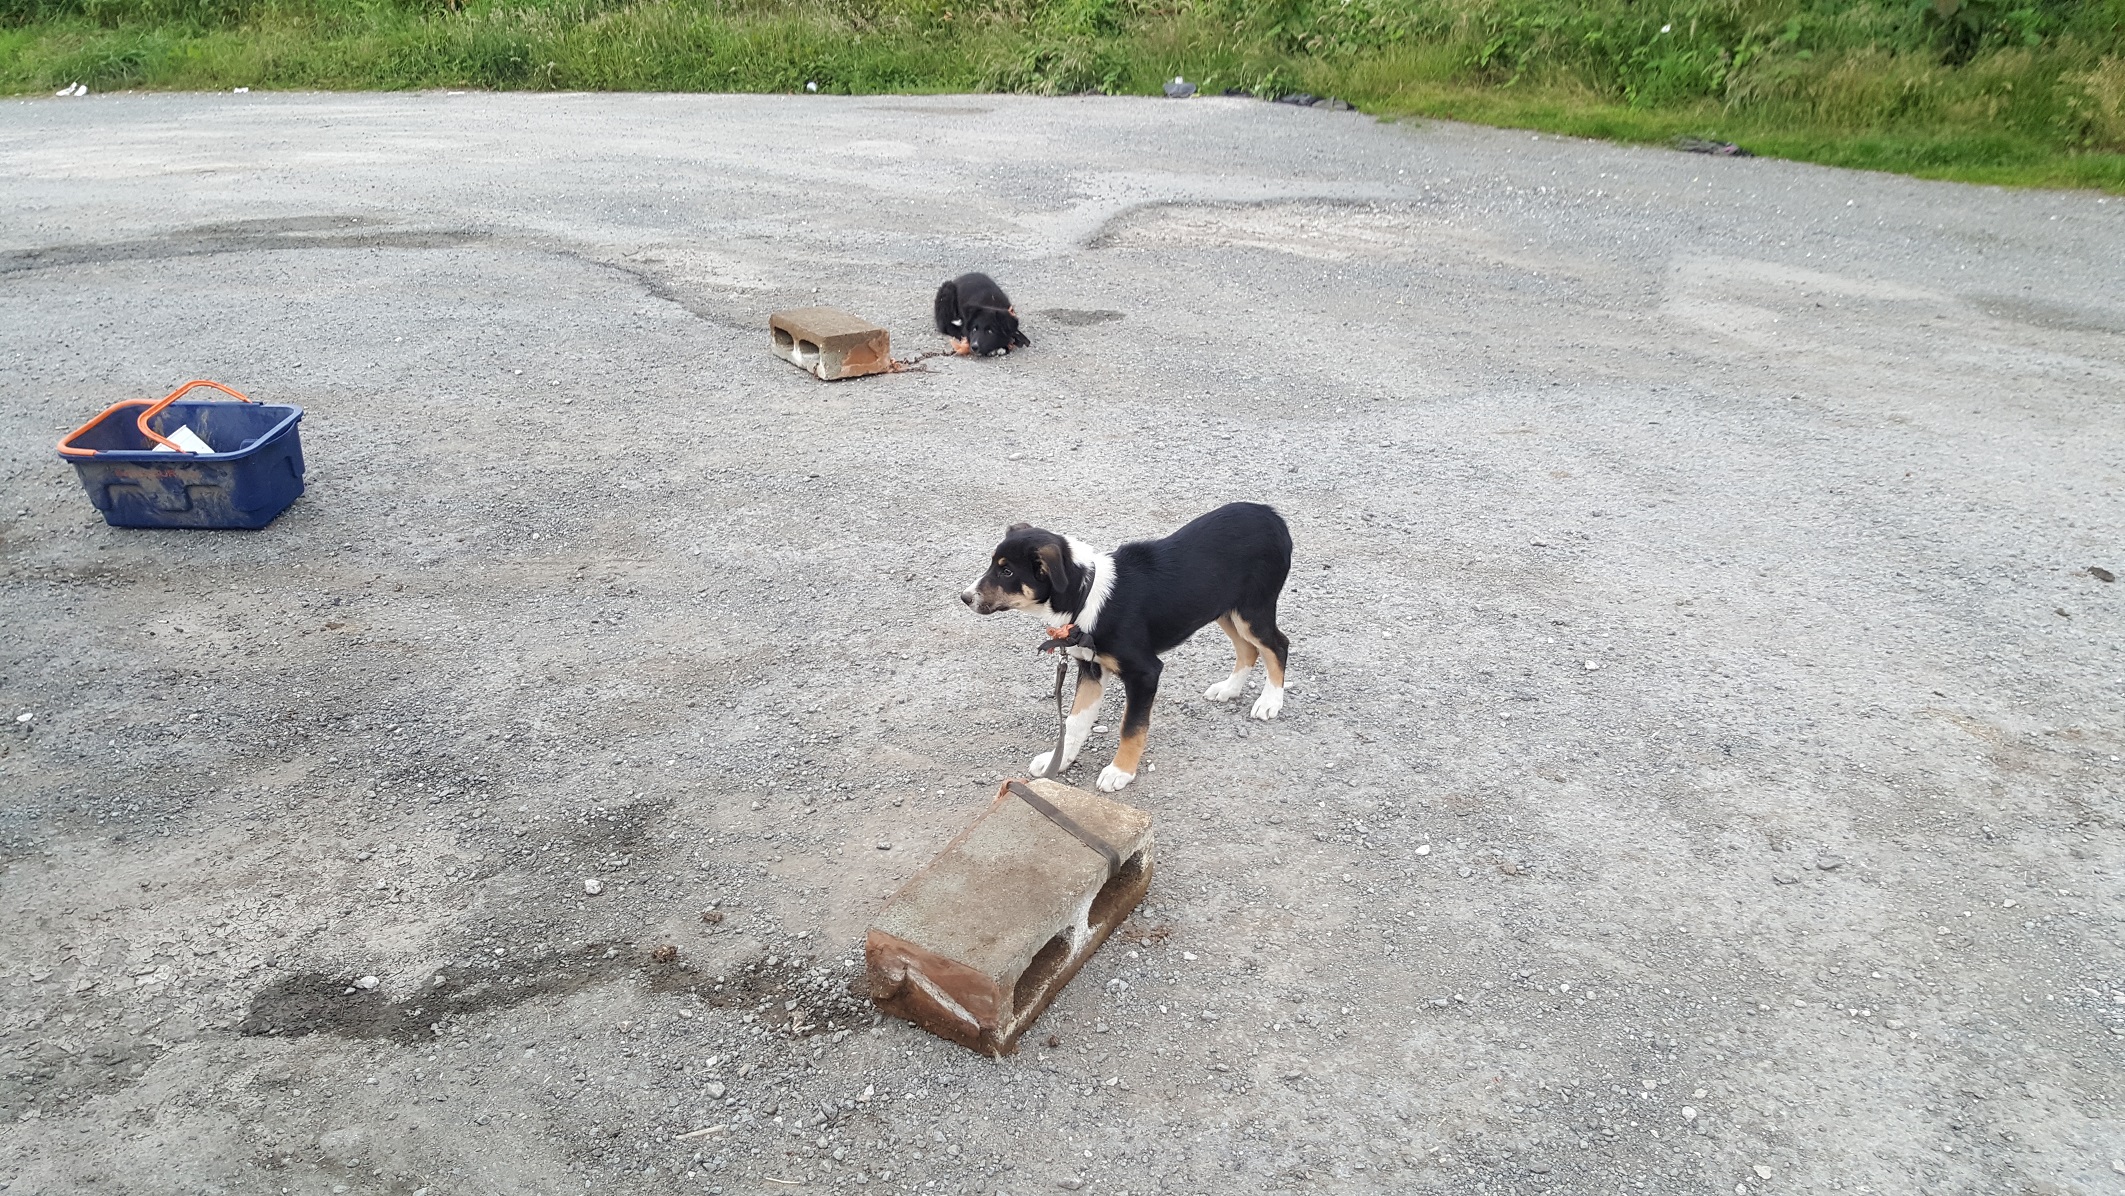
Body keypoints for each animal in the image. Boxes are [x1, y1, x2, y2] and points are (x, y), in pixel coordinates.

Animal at [964, 501, 1292, 790]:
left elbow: (1131, 728)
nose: (965, 597)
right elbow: (1076, 720)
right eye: (993, 565)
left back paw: (1270, 701)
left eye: (1007, 572)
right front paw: (1059, 761)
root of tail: (1270, 514)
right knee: (1248, 648)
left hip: (1253, 610)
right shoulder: (1091, 668)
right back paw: (1229, 689)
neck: (1085, 597)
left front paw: (1119, 772)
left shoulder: (1145, 672)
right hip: (1224, 609)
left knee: (1278, 645)